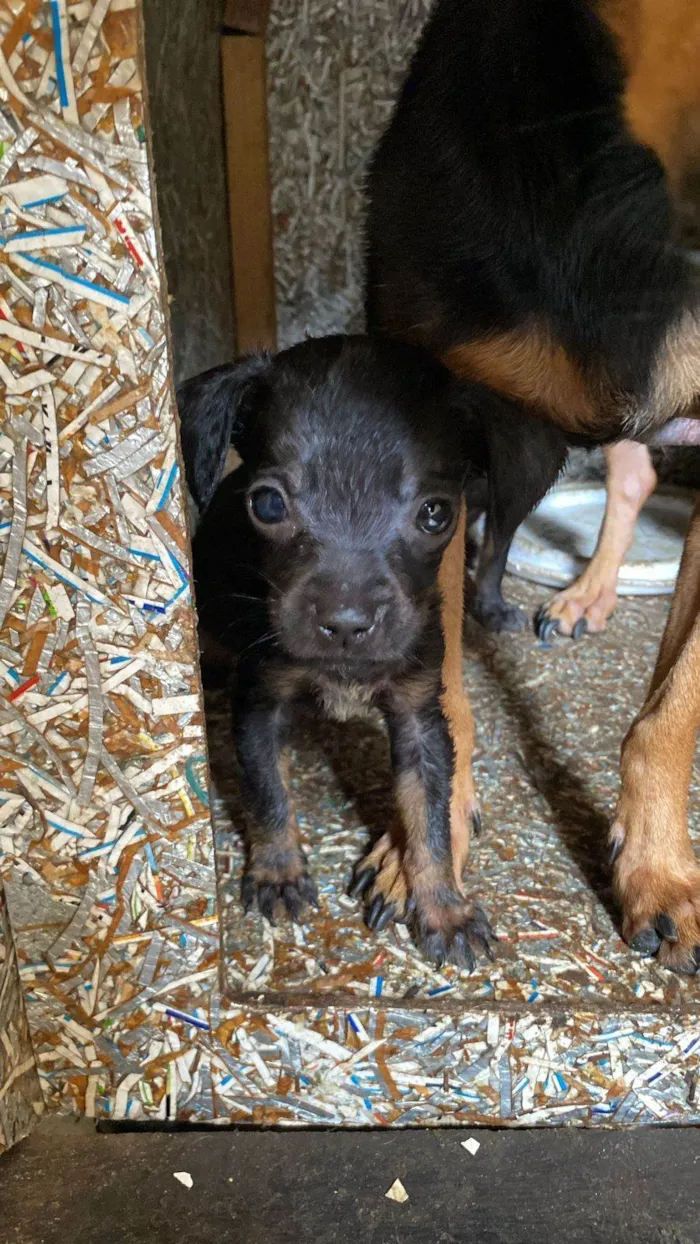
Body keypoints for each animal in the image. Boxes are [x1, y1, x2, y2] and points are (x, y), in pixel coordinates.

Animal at [176, 335, 519, 965]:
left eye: (436, 514)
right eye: (268, 505)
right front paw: (278, 872)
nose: (346, 622)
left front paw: (443, 907)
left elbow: (430, 819)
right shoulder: (260, 701)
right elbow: (268, 792)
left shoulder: (420, 718)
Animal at [368, 0, 700, 970]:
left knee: (627, 468)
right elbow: (436, 695)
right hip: (527, 446)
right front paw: (423, 848)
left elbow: (673, 707)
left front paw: (658, 867)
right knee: (568, 498)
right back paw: (552, 597)